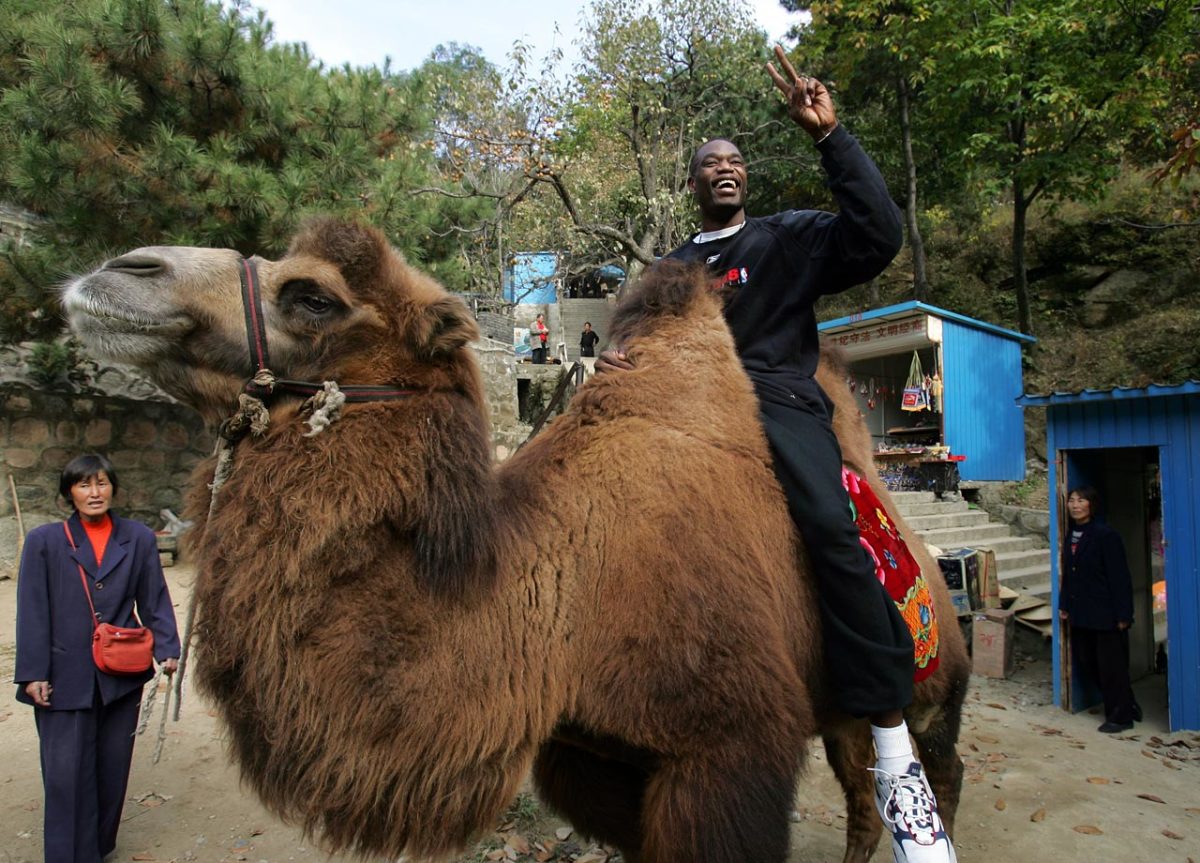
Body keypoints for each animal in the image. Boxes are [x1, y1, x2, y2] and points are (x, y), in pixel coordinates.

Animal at [63, 219, 964, 859]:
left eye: (312, 297)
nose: (117, 272)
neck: (564, 596)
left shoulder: (728, 749)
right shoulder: (592, 753)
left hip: (933, 675)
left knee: (934, 764)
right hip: (836, 700)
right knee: (857, 780)